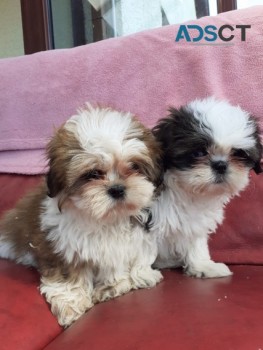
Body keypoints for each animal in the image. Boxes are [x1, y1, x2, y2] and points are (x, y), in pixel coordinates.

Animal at [0, 104, 164, 328]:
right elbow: (68, 277)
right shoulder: (63, 247)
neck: (105, 219)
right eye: (92, 174)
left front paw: (114, 285)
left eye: (134, 167)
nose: (117, 189)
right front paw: (72, 305)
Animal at [152, 97, 262, 278]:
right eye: (198, 153)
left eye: (238, 153)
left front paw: (203, 266)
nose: (220, 165)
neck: (186, 191)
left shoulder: (195, 221)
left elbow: (196, 240)